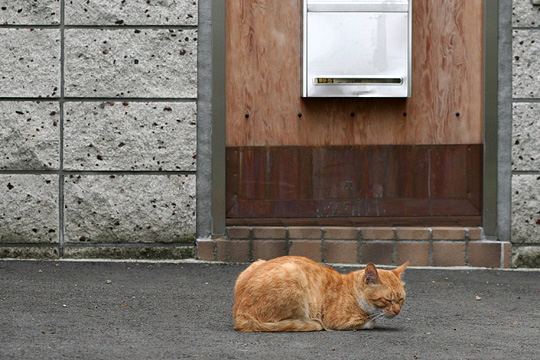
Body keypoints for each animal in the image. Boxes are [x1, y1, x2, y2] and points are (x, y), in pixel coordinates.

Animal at [233, 256, 410, 332]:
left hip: (257, 262)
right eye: (387, 300)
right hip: (295, 276)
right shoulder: (338, 321)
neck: (352, 292)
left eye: (401, 299)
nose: (397, 311)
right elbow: (370, 322)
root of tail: (240, 314)